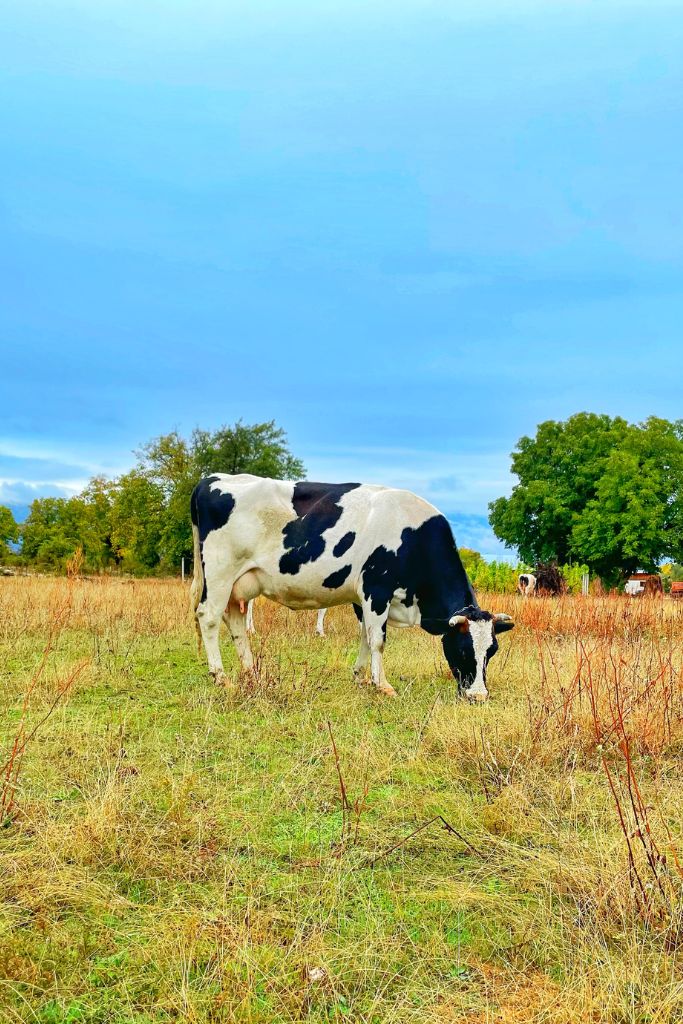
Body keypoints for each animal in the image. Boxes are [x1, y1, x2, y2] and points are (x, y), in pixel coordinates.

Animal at [189, 473, 516, 700]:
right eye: (463, 648)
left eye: (492, 651)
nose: (478, 696)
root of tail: (211, 479)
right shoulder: (377, 588)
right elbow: (378, 640)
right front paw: (382, 685)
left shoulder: (365, 599)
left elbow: (365, 636)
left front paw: (360, 676)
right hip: (220, 572)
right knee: (209, 617)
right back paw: (221, 676)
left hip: (239, 584)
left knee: (235, 621)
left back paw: (250, 671)